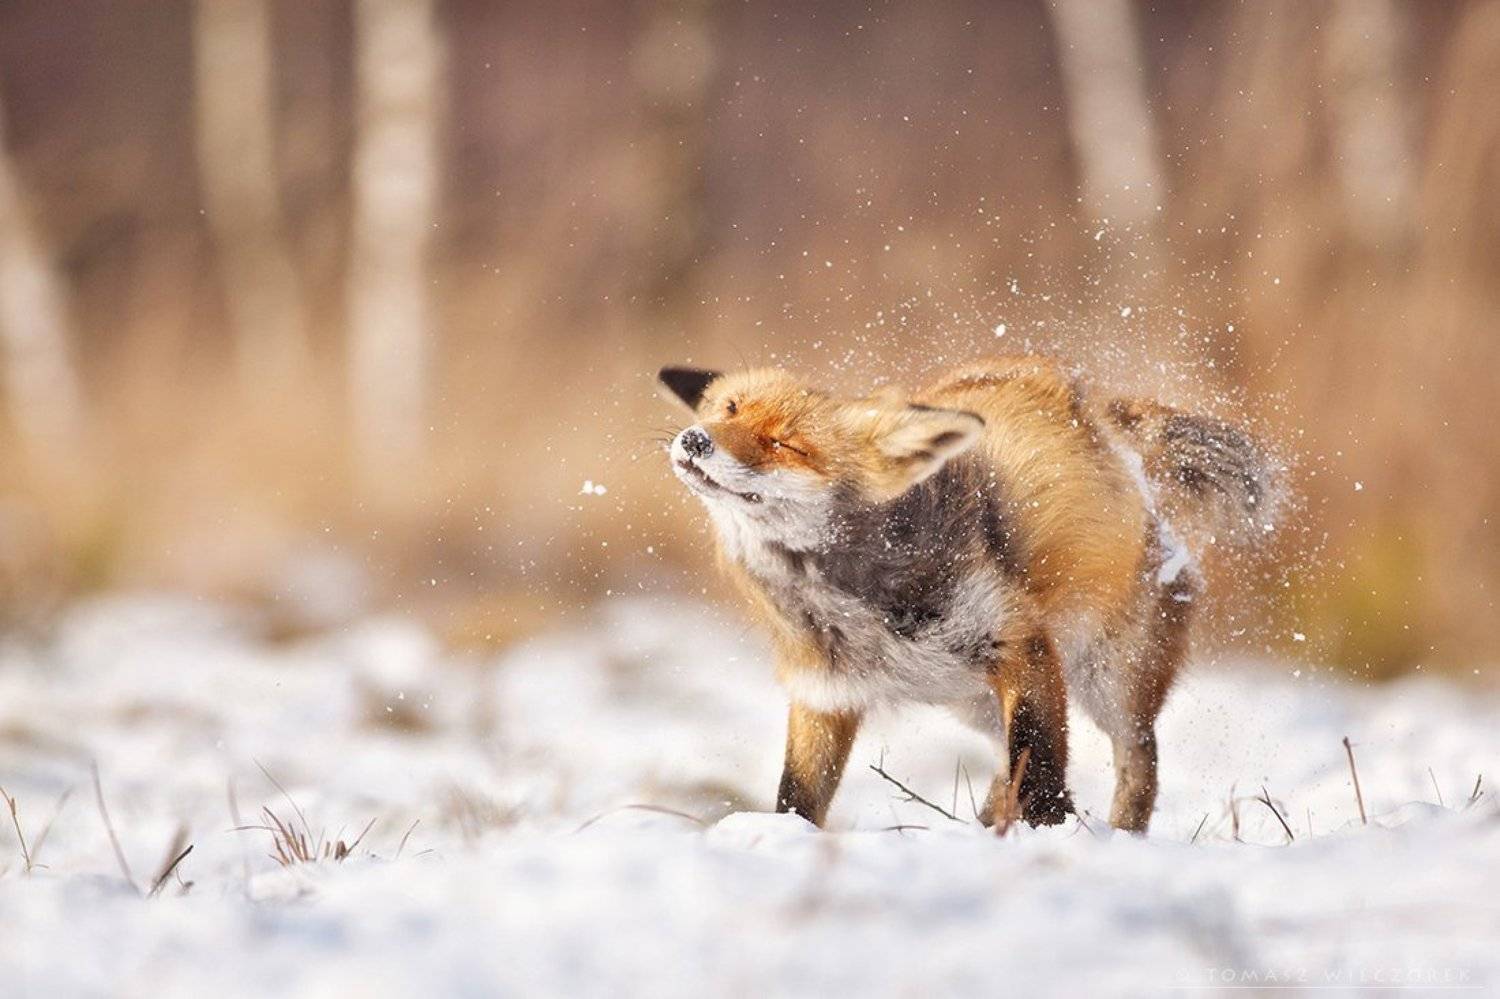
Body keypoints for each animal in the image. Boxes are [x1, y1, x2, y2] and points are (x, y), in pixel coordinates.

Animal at [659, 356, 1279, 833]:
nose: (695, 438)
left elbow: (1040, 759)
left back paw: (1120, 833)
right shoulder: (825, 693)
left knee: (1139, 763)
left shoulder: (1019, 643)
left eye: (784, 444)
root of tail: (1098, 419)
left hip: (1109, 682)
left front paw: (1048, 835)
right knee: (1009, 769)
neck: (855, 600)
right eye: (727, 411)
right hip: (976, 701)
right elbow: (796, 797)